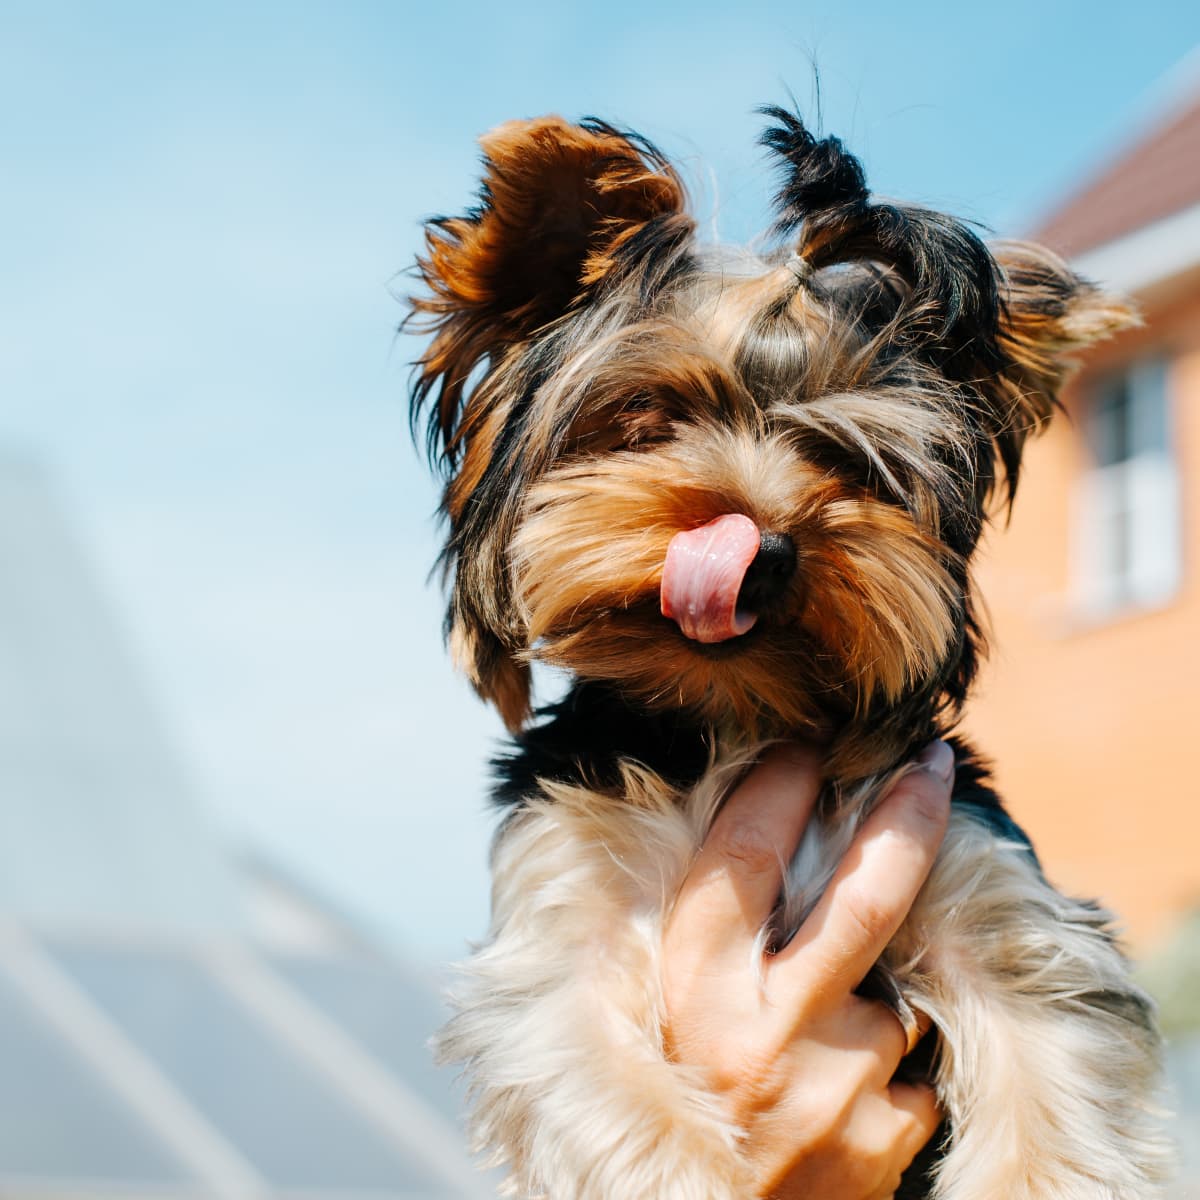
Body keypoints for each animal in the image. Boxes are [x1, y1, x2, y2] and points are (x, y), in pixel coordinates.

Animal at [408, 105, 1166, 1200]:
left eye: (855, 462)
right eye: (646, 418)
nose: (757, 551)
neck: (729, 715)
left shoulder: (984, 885)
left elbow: (1049, 1061)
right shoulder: (560, 920)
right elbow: (601, 1082)